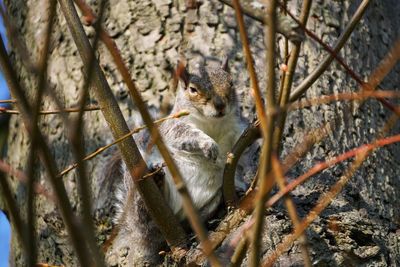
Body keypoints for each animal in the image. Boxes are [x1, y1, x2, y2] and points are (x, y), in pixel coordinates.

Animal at [104, 58, 252, 266]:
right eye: (193, 89)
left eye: (231, 83)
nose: (220, 105)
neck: (212, 123)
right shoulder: (173, 127)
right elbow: (185, 135)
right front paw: (208, 144)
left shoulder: (235, 127)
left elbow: (242, 141)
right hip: (142, 195)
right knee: (145, 214)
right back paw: (156, 183)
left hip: (208, 202)